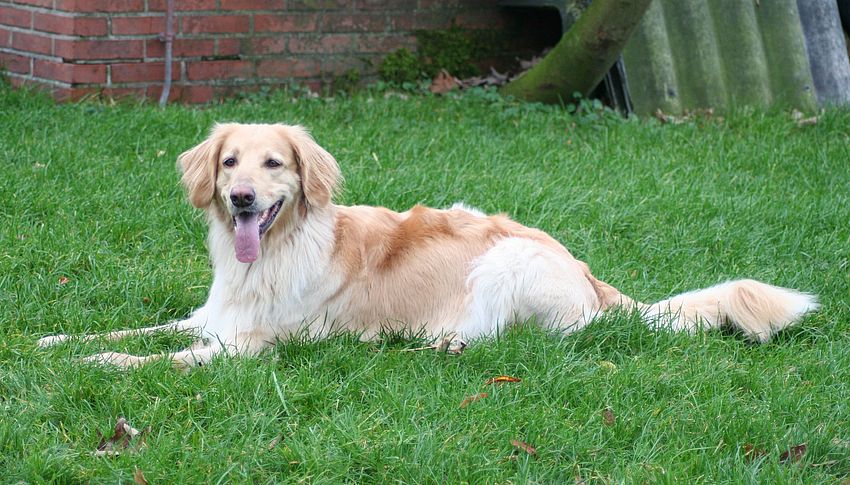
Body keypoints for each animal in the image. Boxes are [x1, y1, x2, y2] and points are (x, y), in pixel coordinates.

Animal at [38, 123, 819, 368]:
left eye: (275, 164)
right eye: (230, 163)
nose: (242, 200)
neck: (275, 253)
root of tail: (586, 270)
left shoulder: (249, 345)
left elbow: (151, 357)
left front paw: (98, 365)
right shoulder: (211, 317)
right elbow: (135, 329)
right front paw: (50, 341)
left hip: (505, 260)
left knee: (535, 339)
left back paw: (441, 342)